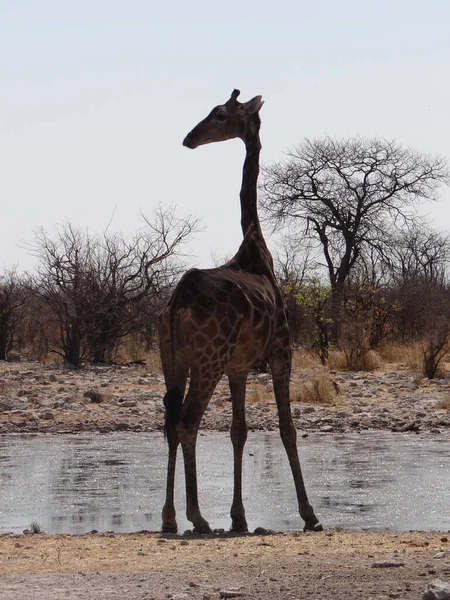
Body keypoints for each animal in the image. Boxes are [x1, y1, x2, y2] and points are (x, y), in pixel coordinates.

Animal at [156, 89, 322, 536]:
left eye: (219, 114)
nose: (189, 138)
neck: (256, 248)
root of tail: (177, 302)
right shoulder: (282, 351)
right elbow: (287, 427)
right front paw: (310, 514)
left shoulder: (240, 366)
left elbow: (239, 431)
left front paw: (240, 516)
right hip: (207, 359)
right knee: (188, 422)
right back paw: (197, 517)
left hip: (173, 358)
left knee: (170, 424)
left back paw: (170, 517)